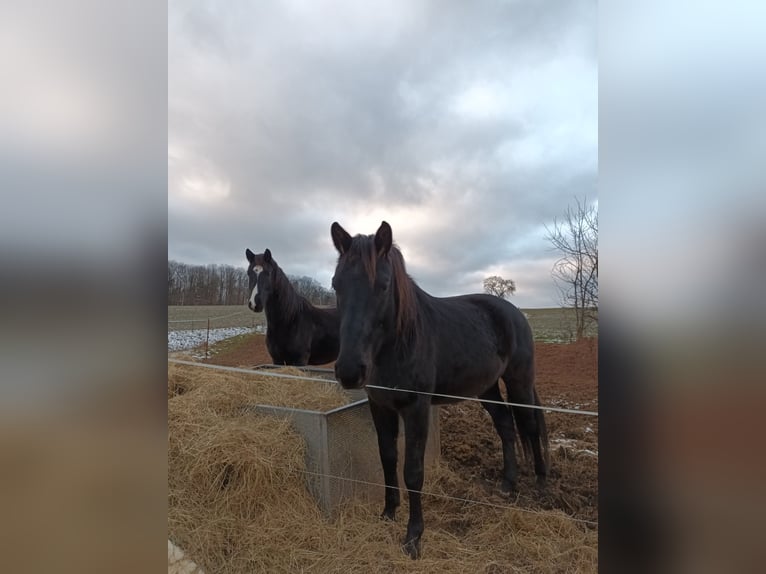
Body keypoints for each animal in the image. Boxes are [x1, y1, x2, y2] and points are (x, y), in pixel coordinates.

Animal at [330, 223, 552, 560]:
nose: (349, 371)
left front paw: (413, 537)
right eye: (335, 285)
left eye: (383, 285)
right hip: (486, 388)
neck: (397, 344)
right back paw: (507, 484)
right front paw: (388, 514)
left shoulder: (416, 409)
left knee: (529, 426)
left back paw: (540, 485)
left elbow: (413, 471)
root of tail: (514, 312)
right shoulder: (379, 406)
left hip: (519, 381)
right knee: (505, 425)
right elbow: (387, 458)